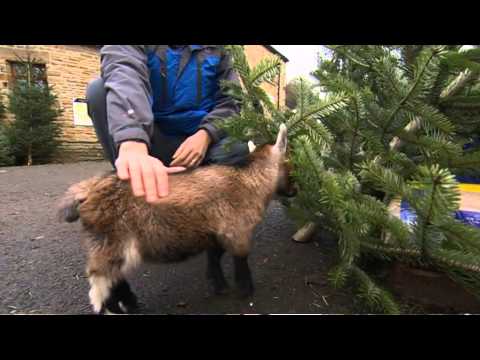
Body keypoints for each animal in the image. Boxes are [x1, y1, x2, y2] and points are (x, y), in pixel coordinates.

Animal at [57, 124, 294, 316]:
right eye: (289, 166)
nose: (295, 191)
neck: (249, 178)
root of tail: (87, 190)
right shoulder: (238, 231)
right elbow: (241, 259)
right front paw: (245, 290)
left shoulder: (216, 231)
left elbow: (215, 256)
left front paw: (218, 284)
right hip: (114, 241)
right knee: (100, 281)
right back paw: (113, 308)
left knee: (114, 277)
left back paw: (130, 303)